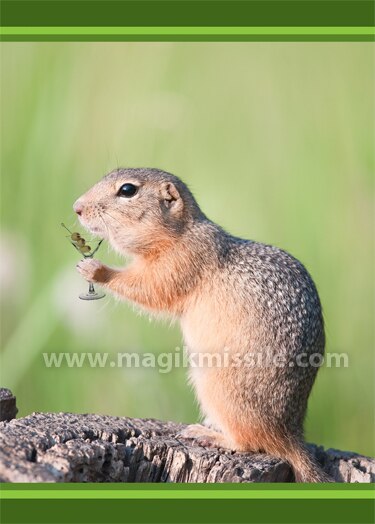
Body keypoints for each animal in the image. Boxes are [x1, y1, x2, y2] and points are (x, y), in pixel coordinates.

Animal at [75, 168, 334, 484]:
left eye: (127, 190)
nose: (77, 207)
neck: (179, 234)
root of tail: (291, 434)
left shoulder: (180, 264)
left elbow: (149, 289)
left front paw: (95, 269)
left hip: (218, 388)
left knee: (252, 443)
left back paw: (209, 434)